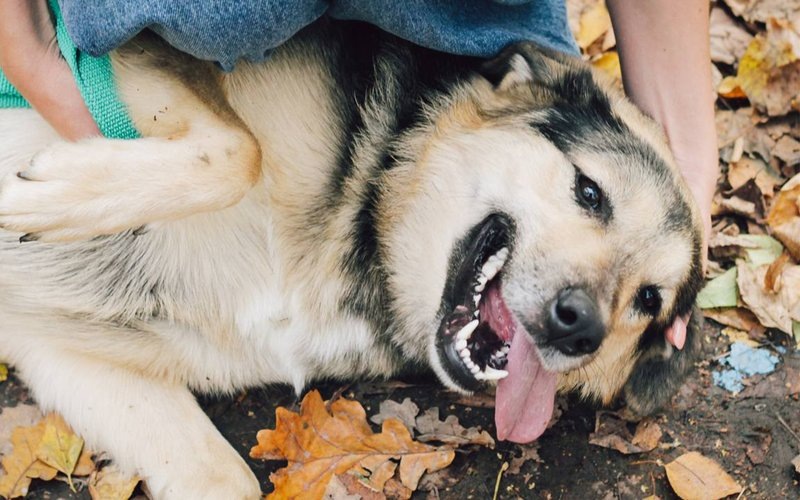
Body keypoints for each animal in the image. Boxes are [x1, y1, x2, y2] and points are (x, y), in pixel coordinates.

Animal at [0, 21, 700, 498]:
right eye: (590, 191)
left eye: (649, 301)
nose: (580, 327)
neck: (370, 214)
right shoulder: (131, 49)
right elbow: (239, 151)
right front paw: (51, 195)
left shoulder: (63, 354)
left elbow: (227, 480)